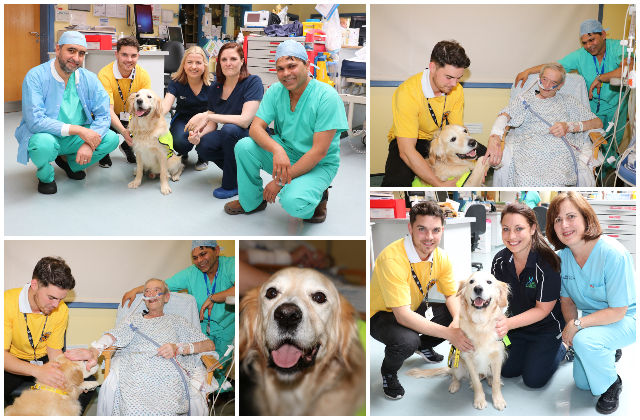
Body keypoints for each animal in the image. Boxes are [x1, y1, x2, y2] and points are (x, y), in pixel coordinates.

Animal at [404, 270, 510, 412]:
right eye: (472, 281)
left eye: (489, 282)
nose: (478, 288)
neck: (480, 323)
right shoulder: (468, 358)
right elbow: (477, 383)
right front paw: (479, 400)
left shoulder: (497, 357)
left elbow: (497, 382)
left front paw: (498, 400)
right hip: (456, 361)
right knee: (455, 376)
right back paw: (455, 385)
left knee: (489, 377)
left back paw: (489, 379)